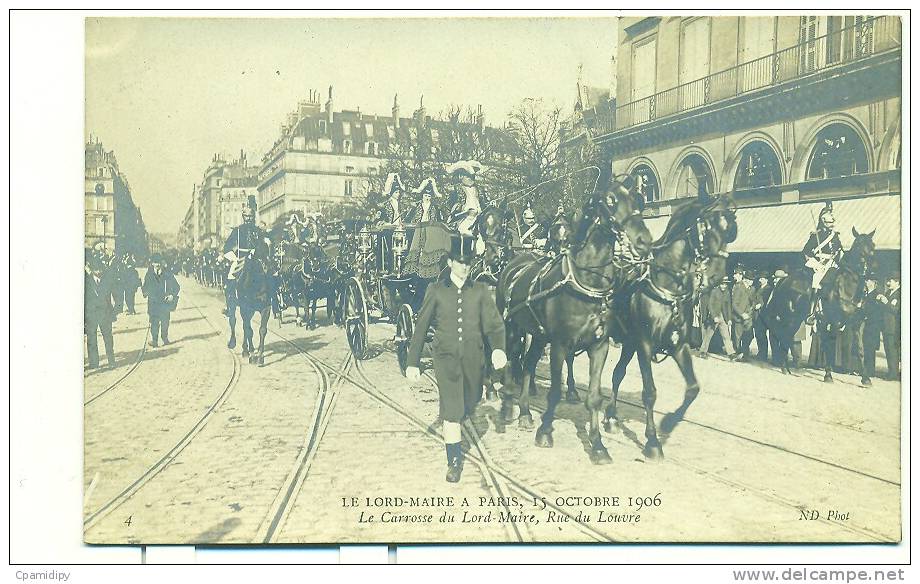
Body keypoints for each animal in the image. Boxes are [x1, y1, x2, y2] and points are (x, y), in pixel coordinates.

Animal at [226, 236, 274, 364]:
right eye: (258, 248)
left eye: (271, 247)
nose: (270, 268)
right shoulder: (245, 307)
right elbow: (248, 330)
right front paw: (252, 354)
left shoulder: (266, 308)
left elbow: (262, 330)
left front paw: (260, 356)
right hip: (233, 304)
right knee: (233, 320)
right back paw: (236, 345)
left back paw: (247, 350)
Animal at [496, 175, 656, 452]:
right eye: (610, 201)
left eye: (639, 200)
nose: (643, 240)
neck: (587, 282)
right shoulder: (560, 344)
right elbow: (554, 392)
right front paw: (545, 432)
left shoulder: (599, 345)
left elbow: (594, 396)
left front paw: (598, 445)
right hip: (512, 327)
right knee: (509, 359)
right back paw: (507, 406)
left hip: (538, 335)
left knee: (528, 364)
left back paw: (525, 412)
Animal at [596, 198, 740, 464]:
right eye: (705, 226)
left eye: (731, 231)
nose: (716, 276)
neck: (666, 287)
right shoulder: (644, 345)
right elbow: (650, 392)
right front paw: (653, 442)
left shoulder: (678, 345)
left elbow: (693, 388)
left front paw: (668, 423)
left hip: (628, 344)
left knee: (617, 374)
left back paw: (610, 417)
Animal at [760, 228, 876, 384]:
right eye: (858, 245)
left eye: (872, 246)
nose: (867, 269)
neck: (848, 287)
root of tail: (783, 280)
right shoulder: (834, 323)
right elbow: (830, 349)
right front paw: (828, 375)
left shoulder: (858, 323)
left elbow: (860, 350)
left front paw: (866, 379)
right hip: (788, 318)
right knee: (784, 337)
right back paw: (784, 368)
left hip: (796, 320)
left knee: (788, 338)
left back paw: (787, 368)